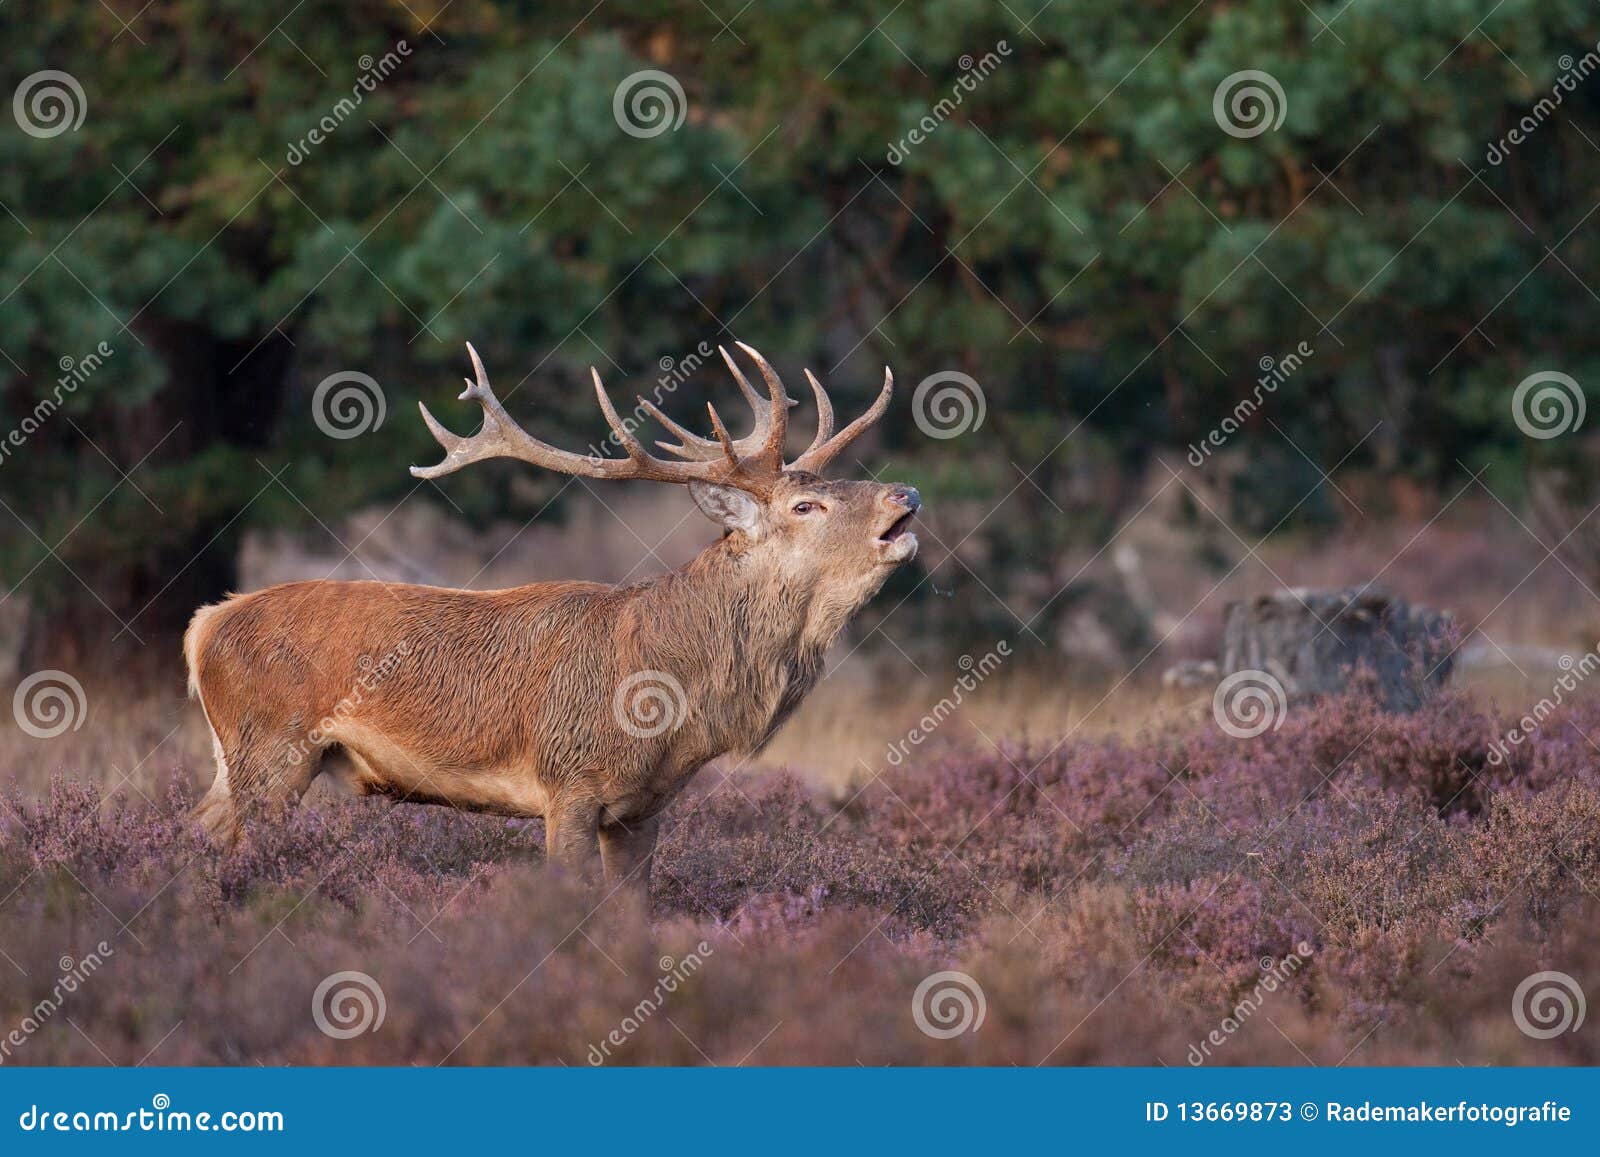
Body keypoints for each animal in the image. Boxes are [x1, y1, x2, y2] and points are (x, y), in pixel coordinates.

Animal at [184, 342, 921, 903]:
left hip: (240, 758)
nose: (906, 492)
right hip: (271, 747)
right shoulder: (569, 780)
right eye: (804, 506)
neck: (673, 699)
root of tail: (205, 624)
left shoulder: (644, 808)